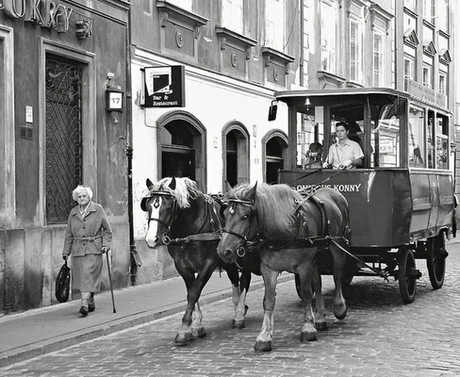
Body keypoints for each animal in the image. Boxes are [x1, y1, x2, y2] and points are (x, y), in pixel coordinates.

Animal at [140, 176, 256, 344]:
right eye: (148, 205)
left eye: (168, 207)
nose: (151, 239)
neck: (189, 231)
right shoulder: (182, 267)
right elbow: (191, 292)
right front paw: (195, 324)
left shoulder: (208, 264)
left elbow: (194, 292)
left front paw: (184, 329)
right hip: (228, 259)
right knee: (235, 280)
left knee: (245, 280)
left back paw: (239, 313)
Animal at [217, 181, 350, 352]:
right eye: (225, 215)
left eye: (245, 216)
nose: (223, 251)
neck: (284, 230)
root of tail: (334, 192)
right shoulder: (269, 269)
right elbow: (268, 300)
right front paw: (265, 336)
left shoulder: (304, 266)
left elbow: (307, 294)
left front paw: (308, 328)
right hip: (317, 254)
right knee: (318, 282)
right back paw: (320, 318)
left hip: (338, 245)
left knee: (338, 274)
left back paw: (339, 307)